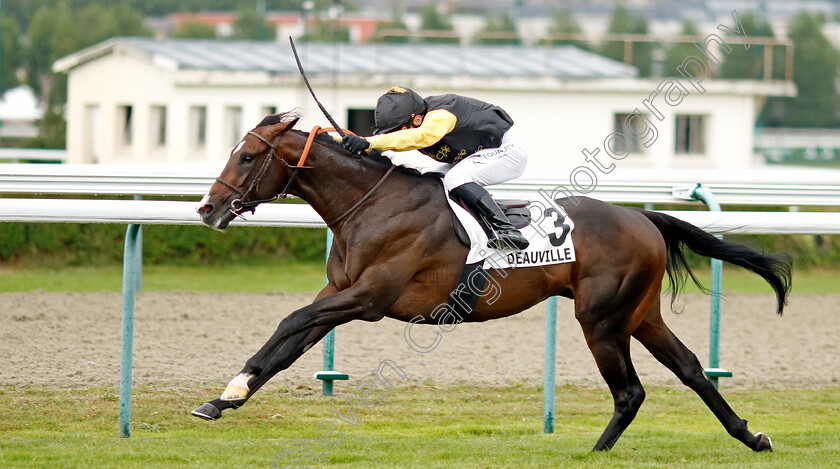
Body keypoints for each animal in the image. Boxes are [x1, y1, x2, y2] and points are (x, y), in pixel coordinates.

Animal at [194, 109, 792, 450]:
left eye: (247, 156)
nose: (206, 209)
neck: (372, 206)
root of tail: (644, 218)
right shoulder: (338, 293)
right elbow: (287, 342)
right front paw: (226, 397)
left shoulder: (367, 298)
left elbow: (291, 320)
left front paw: (228, 393)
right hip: (640, 314)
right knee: (691, 369)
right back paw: (752, 436)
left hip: (601, 319)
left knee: (630, 391)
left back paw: (596, 452)